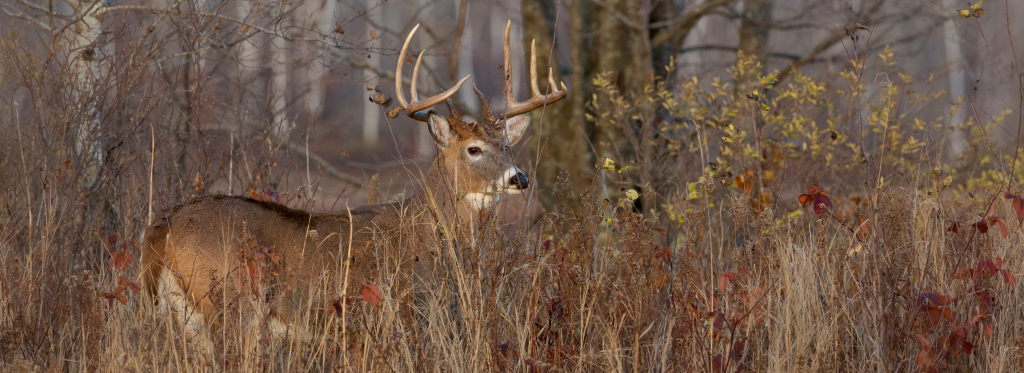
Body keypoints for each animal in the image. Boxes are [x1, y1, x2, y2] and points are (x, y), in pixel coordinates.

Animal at [140, 20, 565, 350]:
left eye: (507, 146)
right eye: (473, 149)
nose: (519, 178)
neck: (430, 233)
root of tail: (160, 230)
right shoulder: (397, 309)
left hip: (184, 311)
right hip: (226, 302)